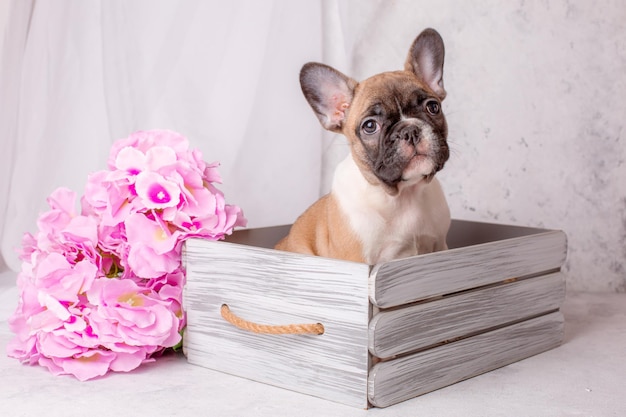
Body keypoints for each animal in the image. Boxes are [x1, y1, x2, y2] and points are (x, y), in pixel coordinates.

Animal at [276, 28, 448, 264]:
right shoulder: (357, 260)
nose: (409, 131)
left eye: (433, 107)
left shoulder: (441, 246)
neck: (403, 196)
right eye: (370, 126)